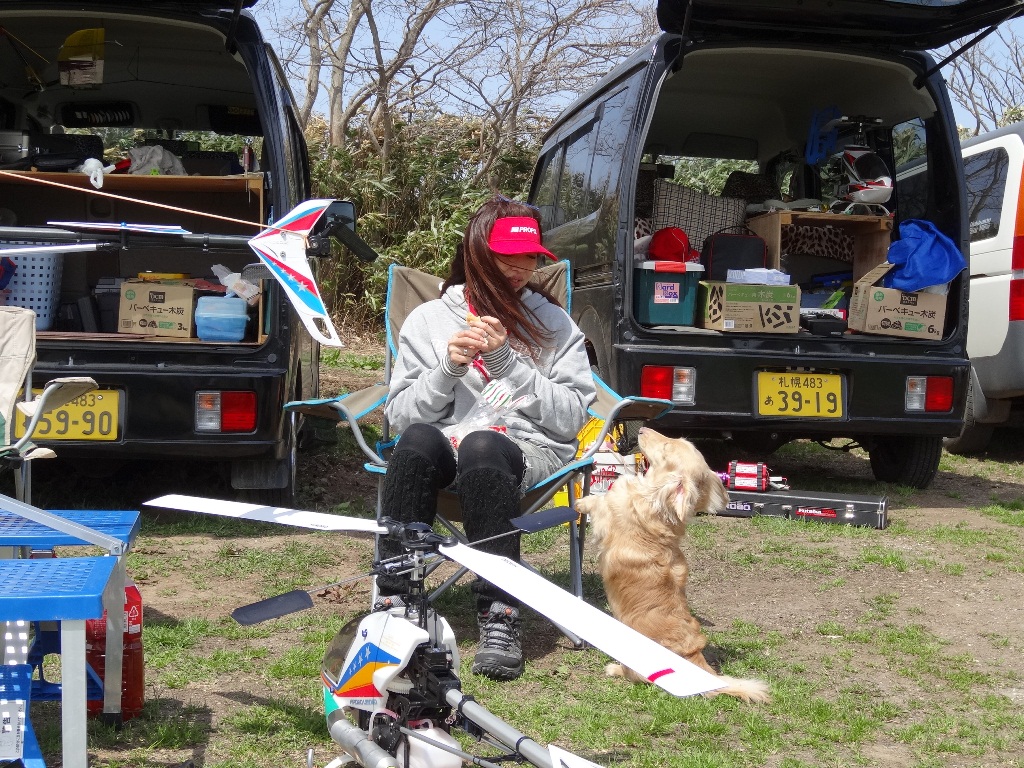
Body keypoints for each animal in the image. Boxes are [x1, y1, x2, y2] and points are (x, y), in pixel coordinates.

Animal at [575, 427, 770, 703]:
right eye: (676, 439)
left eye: (667, 448)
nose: (642, 429)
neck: (654, 501)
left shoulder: (609, 514)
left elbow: (598, 502)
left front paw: (580, 503)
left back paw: (613, 668)